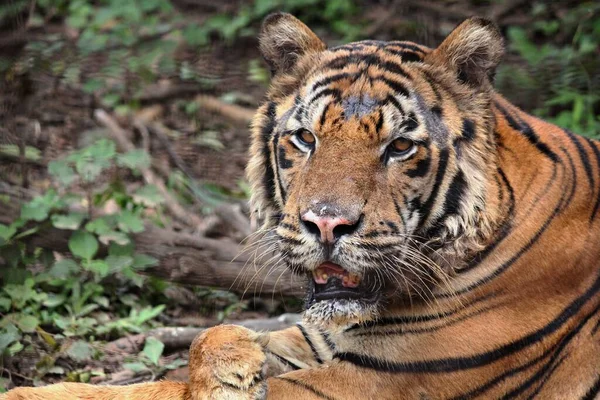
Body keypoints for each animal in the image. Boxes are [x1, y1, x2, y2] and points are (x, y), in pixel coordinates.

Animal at [4, 12, 600, 400]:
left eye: (399, 147)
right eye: (306, 138)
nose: (327, 223)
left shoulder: (369, 382)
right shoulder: (316, 336)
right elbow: (172, 364)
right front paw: (233, 359)